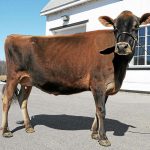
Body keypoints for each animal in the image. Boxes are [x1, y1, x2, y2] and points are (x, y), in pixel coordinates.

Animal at [1, 11, 150, 147]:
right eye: (115, 27)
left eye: (136, 26)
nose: (122, 46)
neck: (119, 68)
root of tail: (14, 36)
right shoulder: (98, 84)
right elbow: (101, 110)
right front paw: (103, 137)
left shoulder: (106, 87)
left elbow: (97, 110)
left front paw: (94, 133)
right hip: (13, 76)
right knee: (7, 100)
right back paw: (6, 130)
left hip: (27, 81)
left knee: (23, 100)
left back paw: (28, 127)